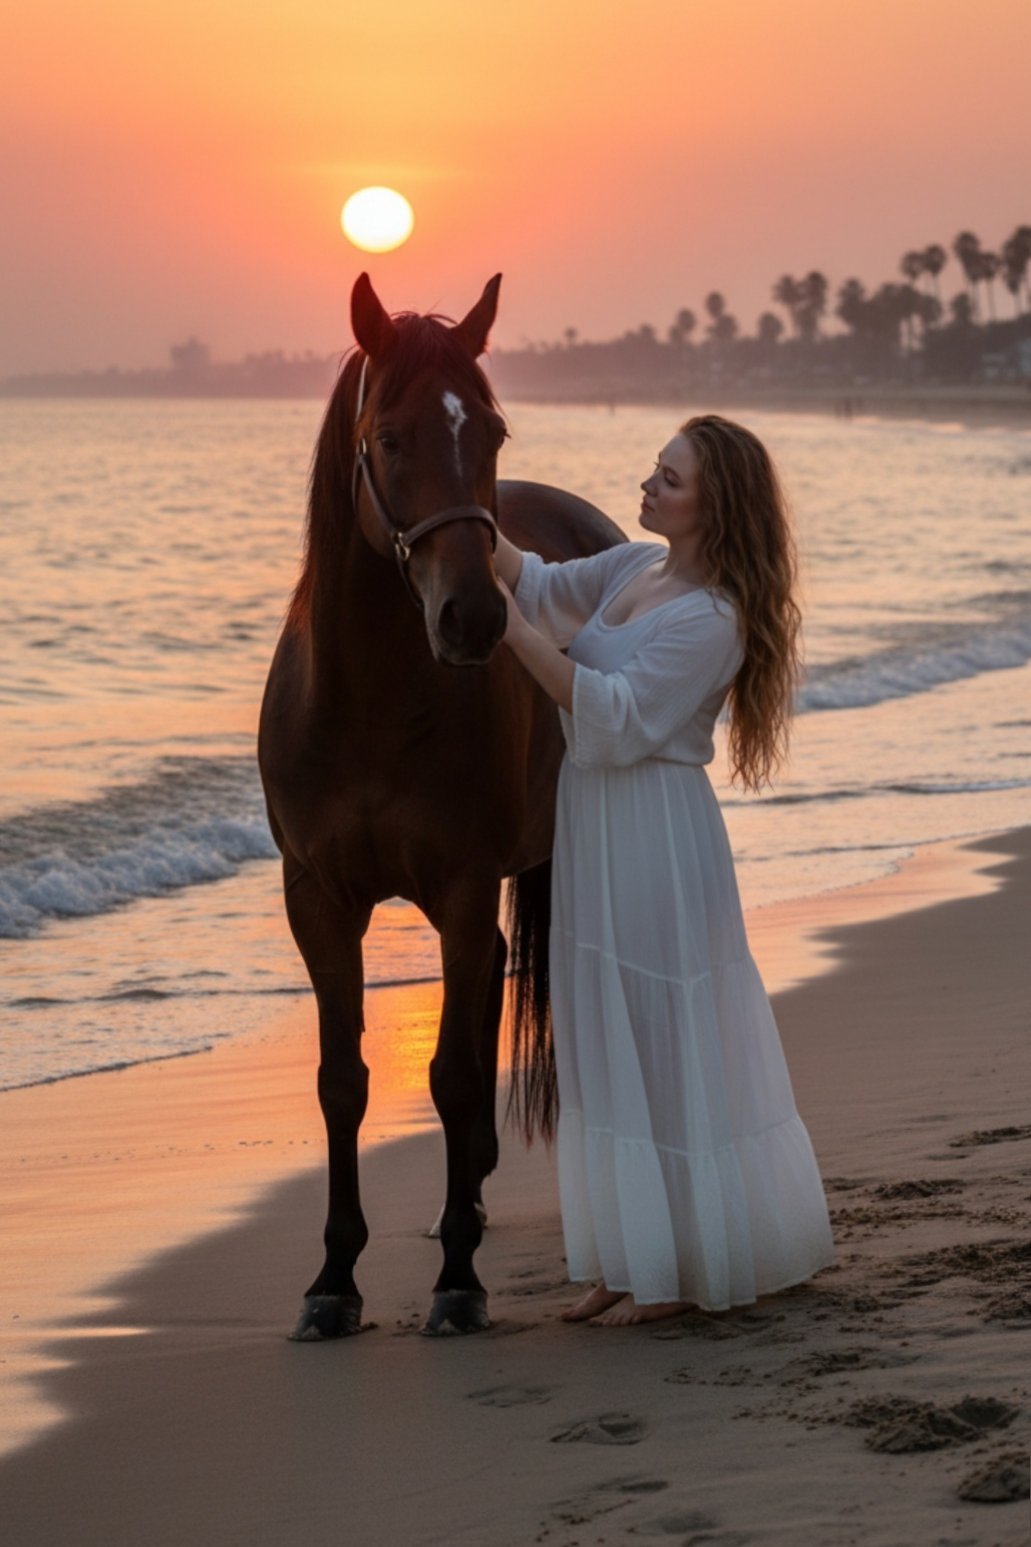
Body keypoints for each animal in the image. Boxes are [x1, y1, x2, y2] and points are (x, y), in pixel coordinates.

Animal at [258, 272, 626, 1337]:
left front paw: (457, 1280)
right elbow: (343, 1083)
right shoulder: (318, 901)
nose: (474, 617)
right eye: (388, 438)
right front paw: (333, 1279)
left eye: (491, 433)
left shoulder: (461, 887)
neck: (370, 700)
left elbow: (454, 1076)